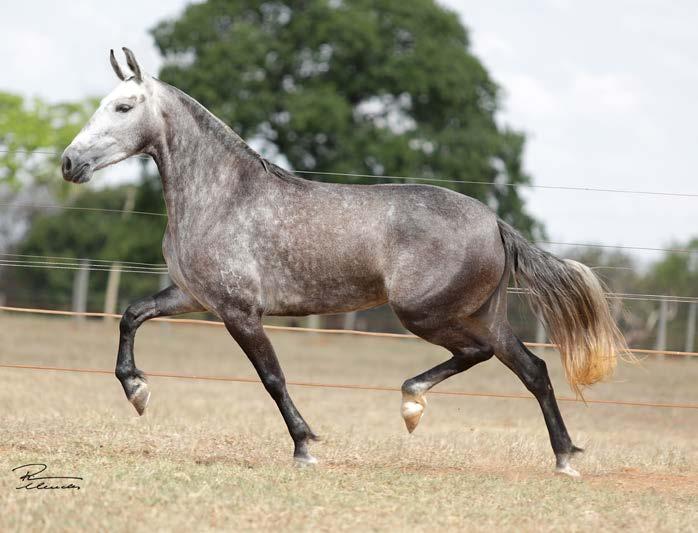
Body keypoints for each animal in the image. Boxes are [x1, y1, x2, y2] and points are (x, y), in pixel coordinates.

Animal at [61, 48, 624, 474]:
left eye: (123, 106)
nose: (70, 163)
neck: (223, 196)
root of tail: (495, 223)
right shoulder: (193, 297)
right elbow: (130, 315)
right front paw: (137, 391)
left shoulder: (240, 312)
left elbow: (272, 378)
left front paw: (305, 447)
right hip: (483, 313)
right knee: (533, 369)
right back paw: (563, 458)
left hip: (426, 313)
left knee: (481, 355)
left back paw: (413, 403)